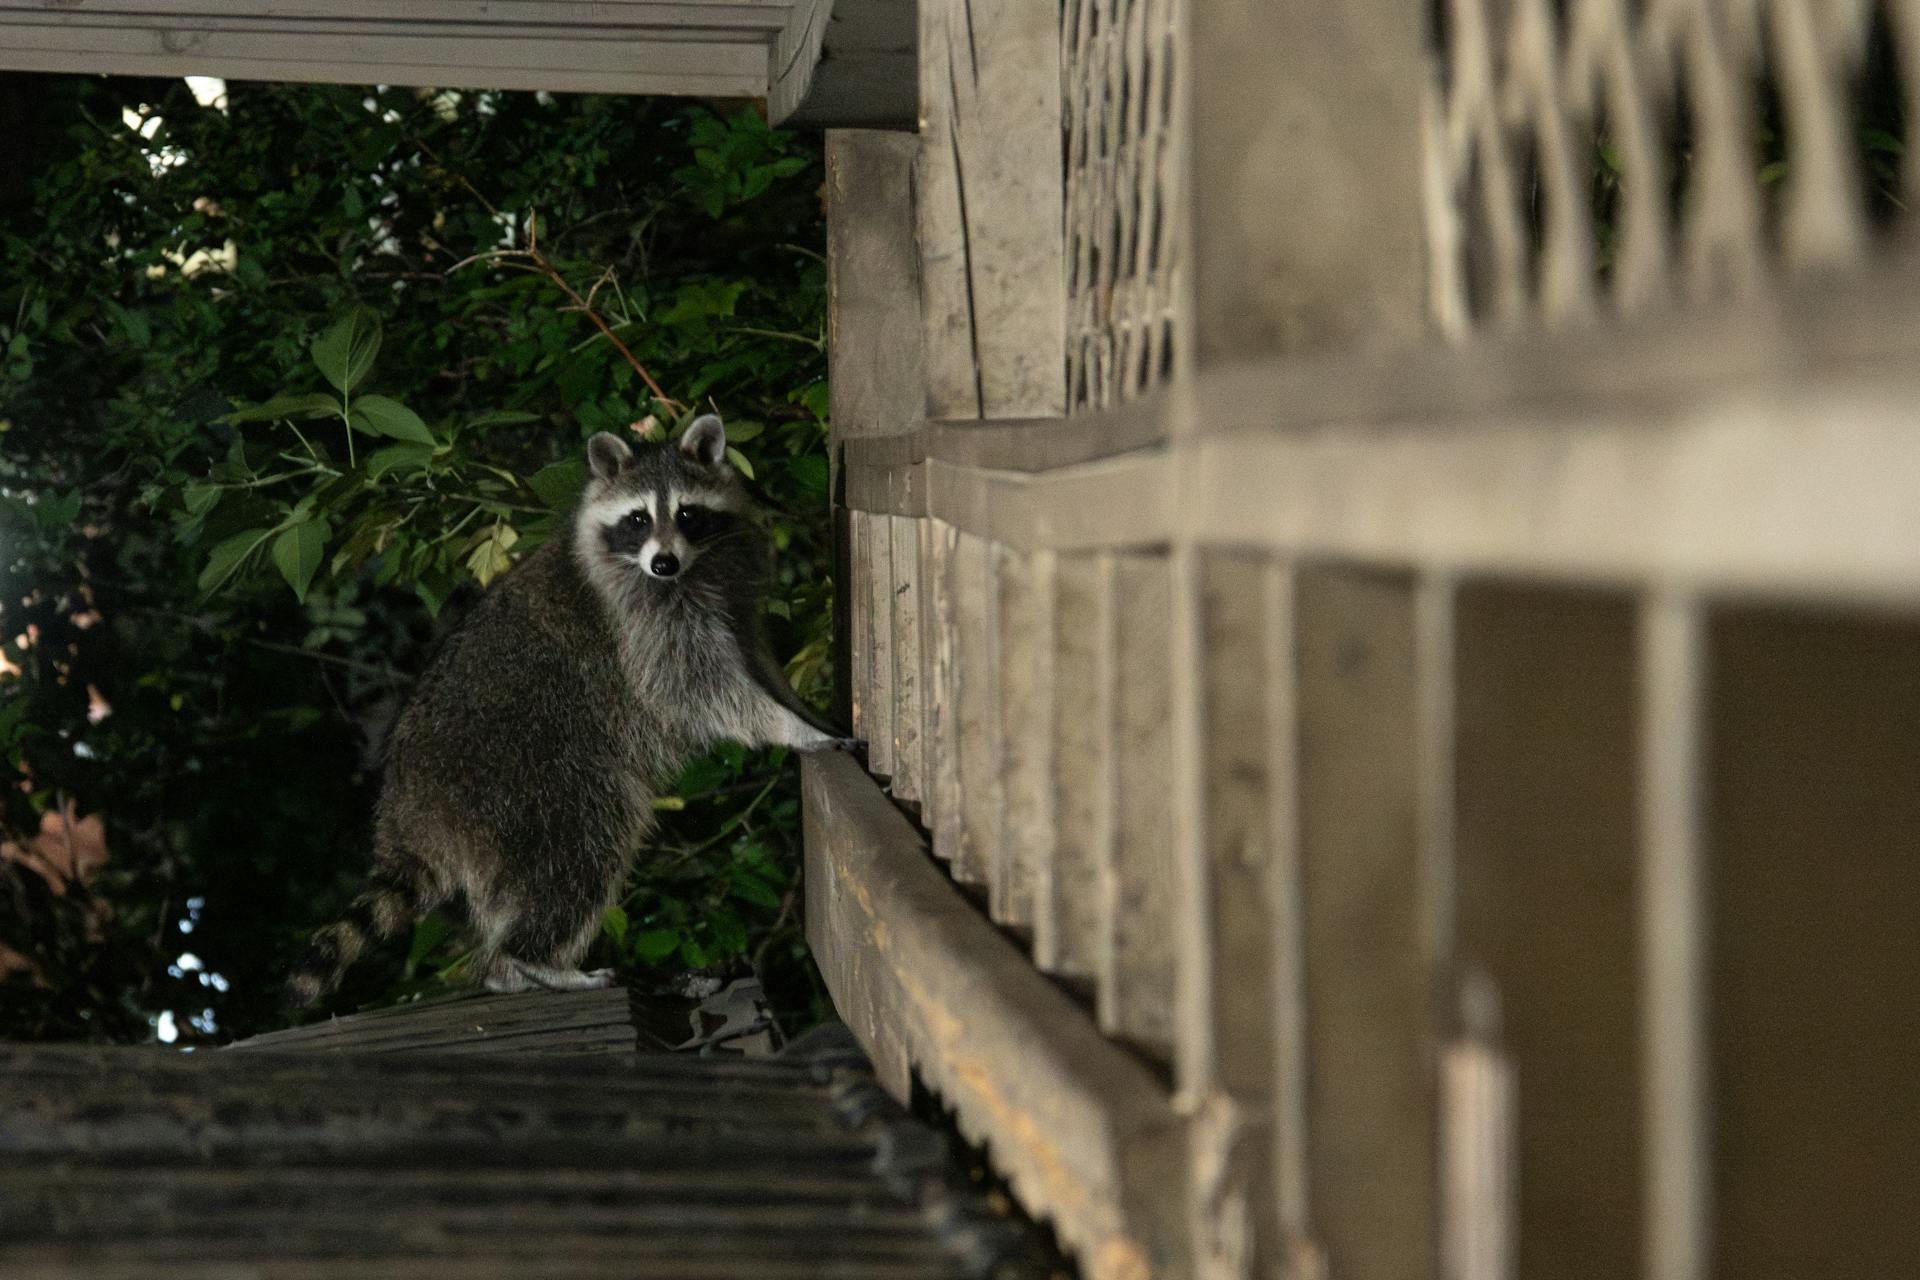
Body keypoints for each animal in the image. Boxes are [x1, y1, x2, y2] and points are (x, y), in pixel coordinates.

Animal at [286, 415, 852, 1007]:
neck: (690, 570)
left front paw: (798, 707)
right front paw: (789, 726)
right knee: (581, 846)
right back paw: (531, 959)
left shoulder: (731, 588)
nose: (664, 562)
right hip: (523, 784)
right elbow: (694, 686)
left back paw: (510, 970)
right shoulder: (638, 626)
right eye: (638, 518)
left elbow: (754, 657)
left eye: (688, 515)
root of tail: (406, 811)